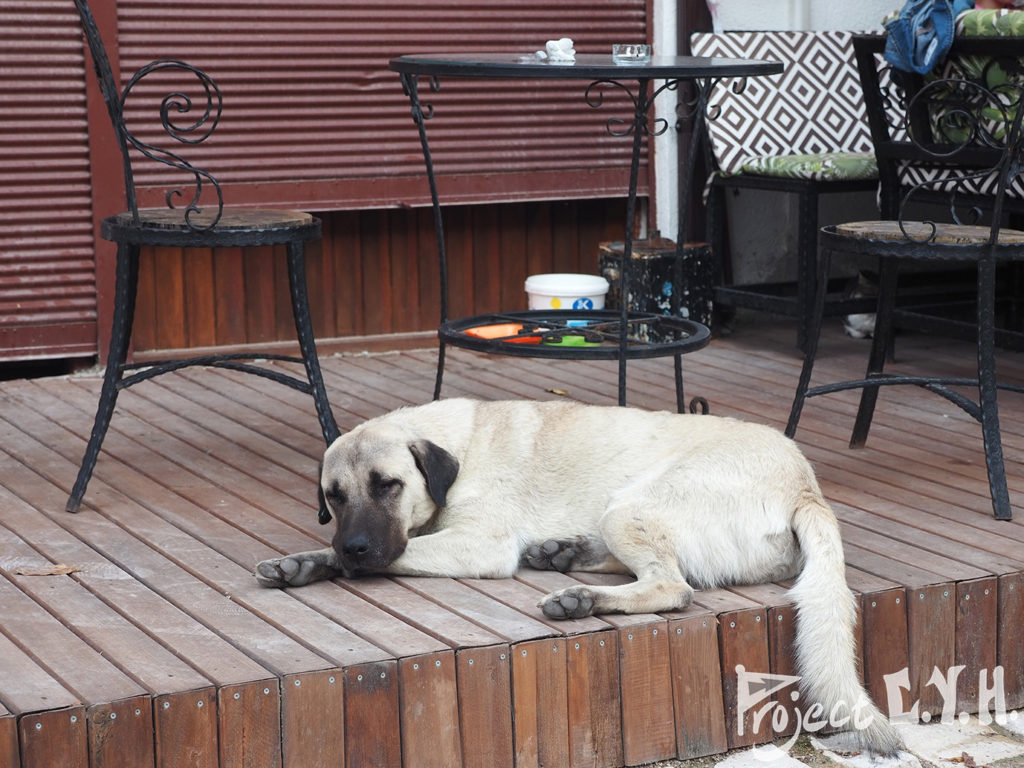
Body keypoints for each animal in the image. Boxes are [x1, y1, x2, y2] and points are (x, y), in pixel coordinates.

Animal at [258, 399, 905, 761]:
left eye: (388, 485)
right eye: (334, 496)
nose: (353, 545)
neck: (457, 446)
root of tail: (805, 485)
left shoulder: (477, 541)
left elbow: (400, 553)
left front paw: (329, 561)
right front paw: (307, 562)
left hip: (633, 504)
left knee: (671, 586)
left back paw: (578, 596)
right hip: (627, 511)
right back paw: (560, 554)